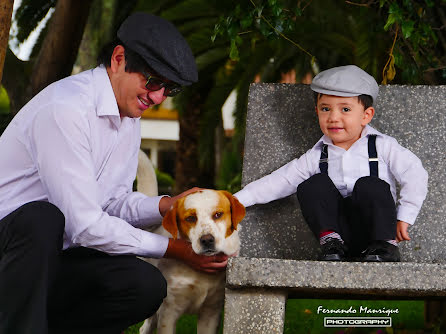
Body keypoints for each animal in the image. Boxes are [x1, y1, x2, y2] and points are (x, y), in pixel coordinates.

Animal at [139, 189, 246, 334]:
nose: (207, 240)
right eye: (191, 218)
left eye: (218, 214)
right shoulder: (168, 312)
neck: (201, 276)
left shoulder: (211, 312)